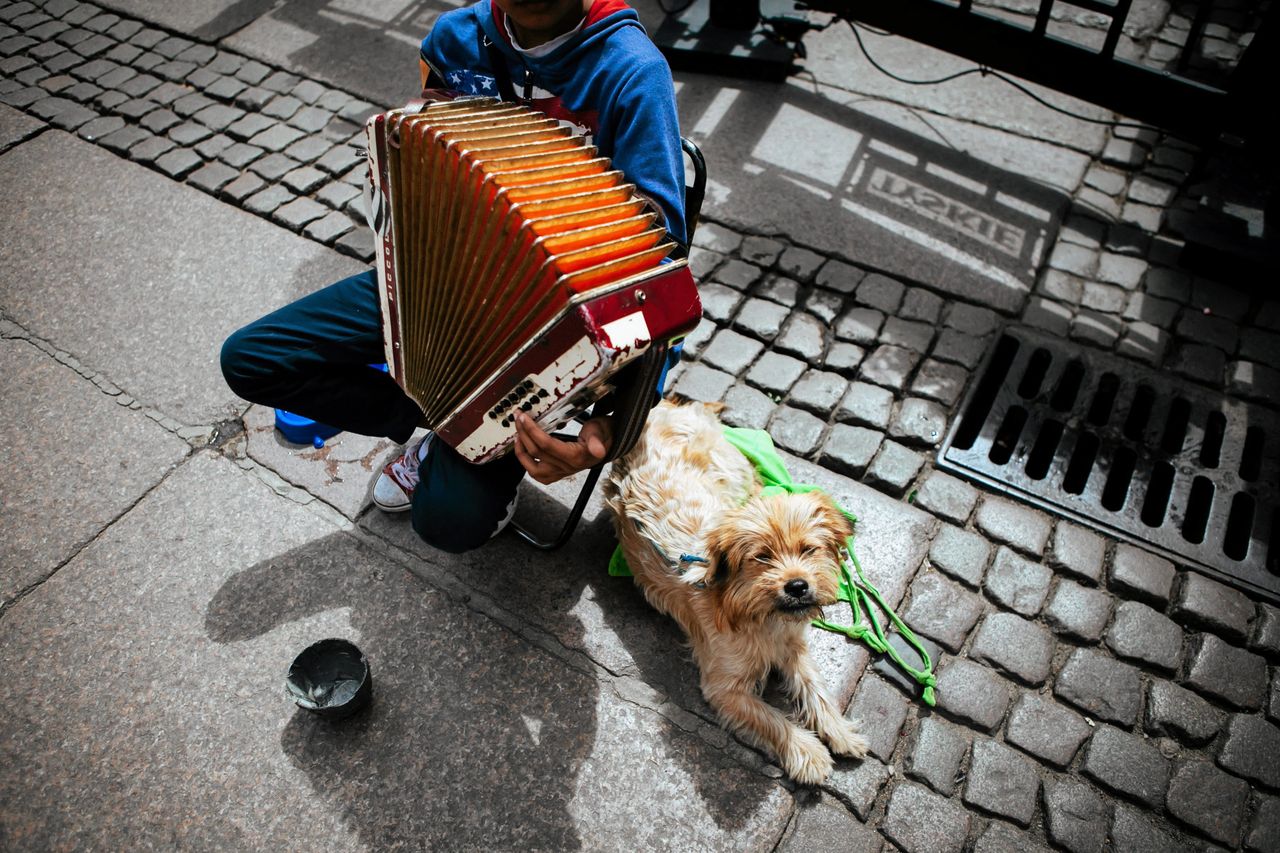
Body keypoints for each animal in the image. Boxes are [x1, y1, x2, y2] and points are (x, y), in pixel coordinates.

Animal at [601, 402, 865, 778]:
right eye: (763, 556)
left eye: (808, 549)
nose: (798, 586)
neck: (758, 614)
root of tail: (661, 408)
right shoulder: (726, 688)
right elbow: (771, 718)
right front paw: (807, 751)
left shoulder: (795, 648)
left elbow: (816, 688)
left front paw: (839, 730)